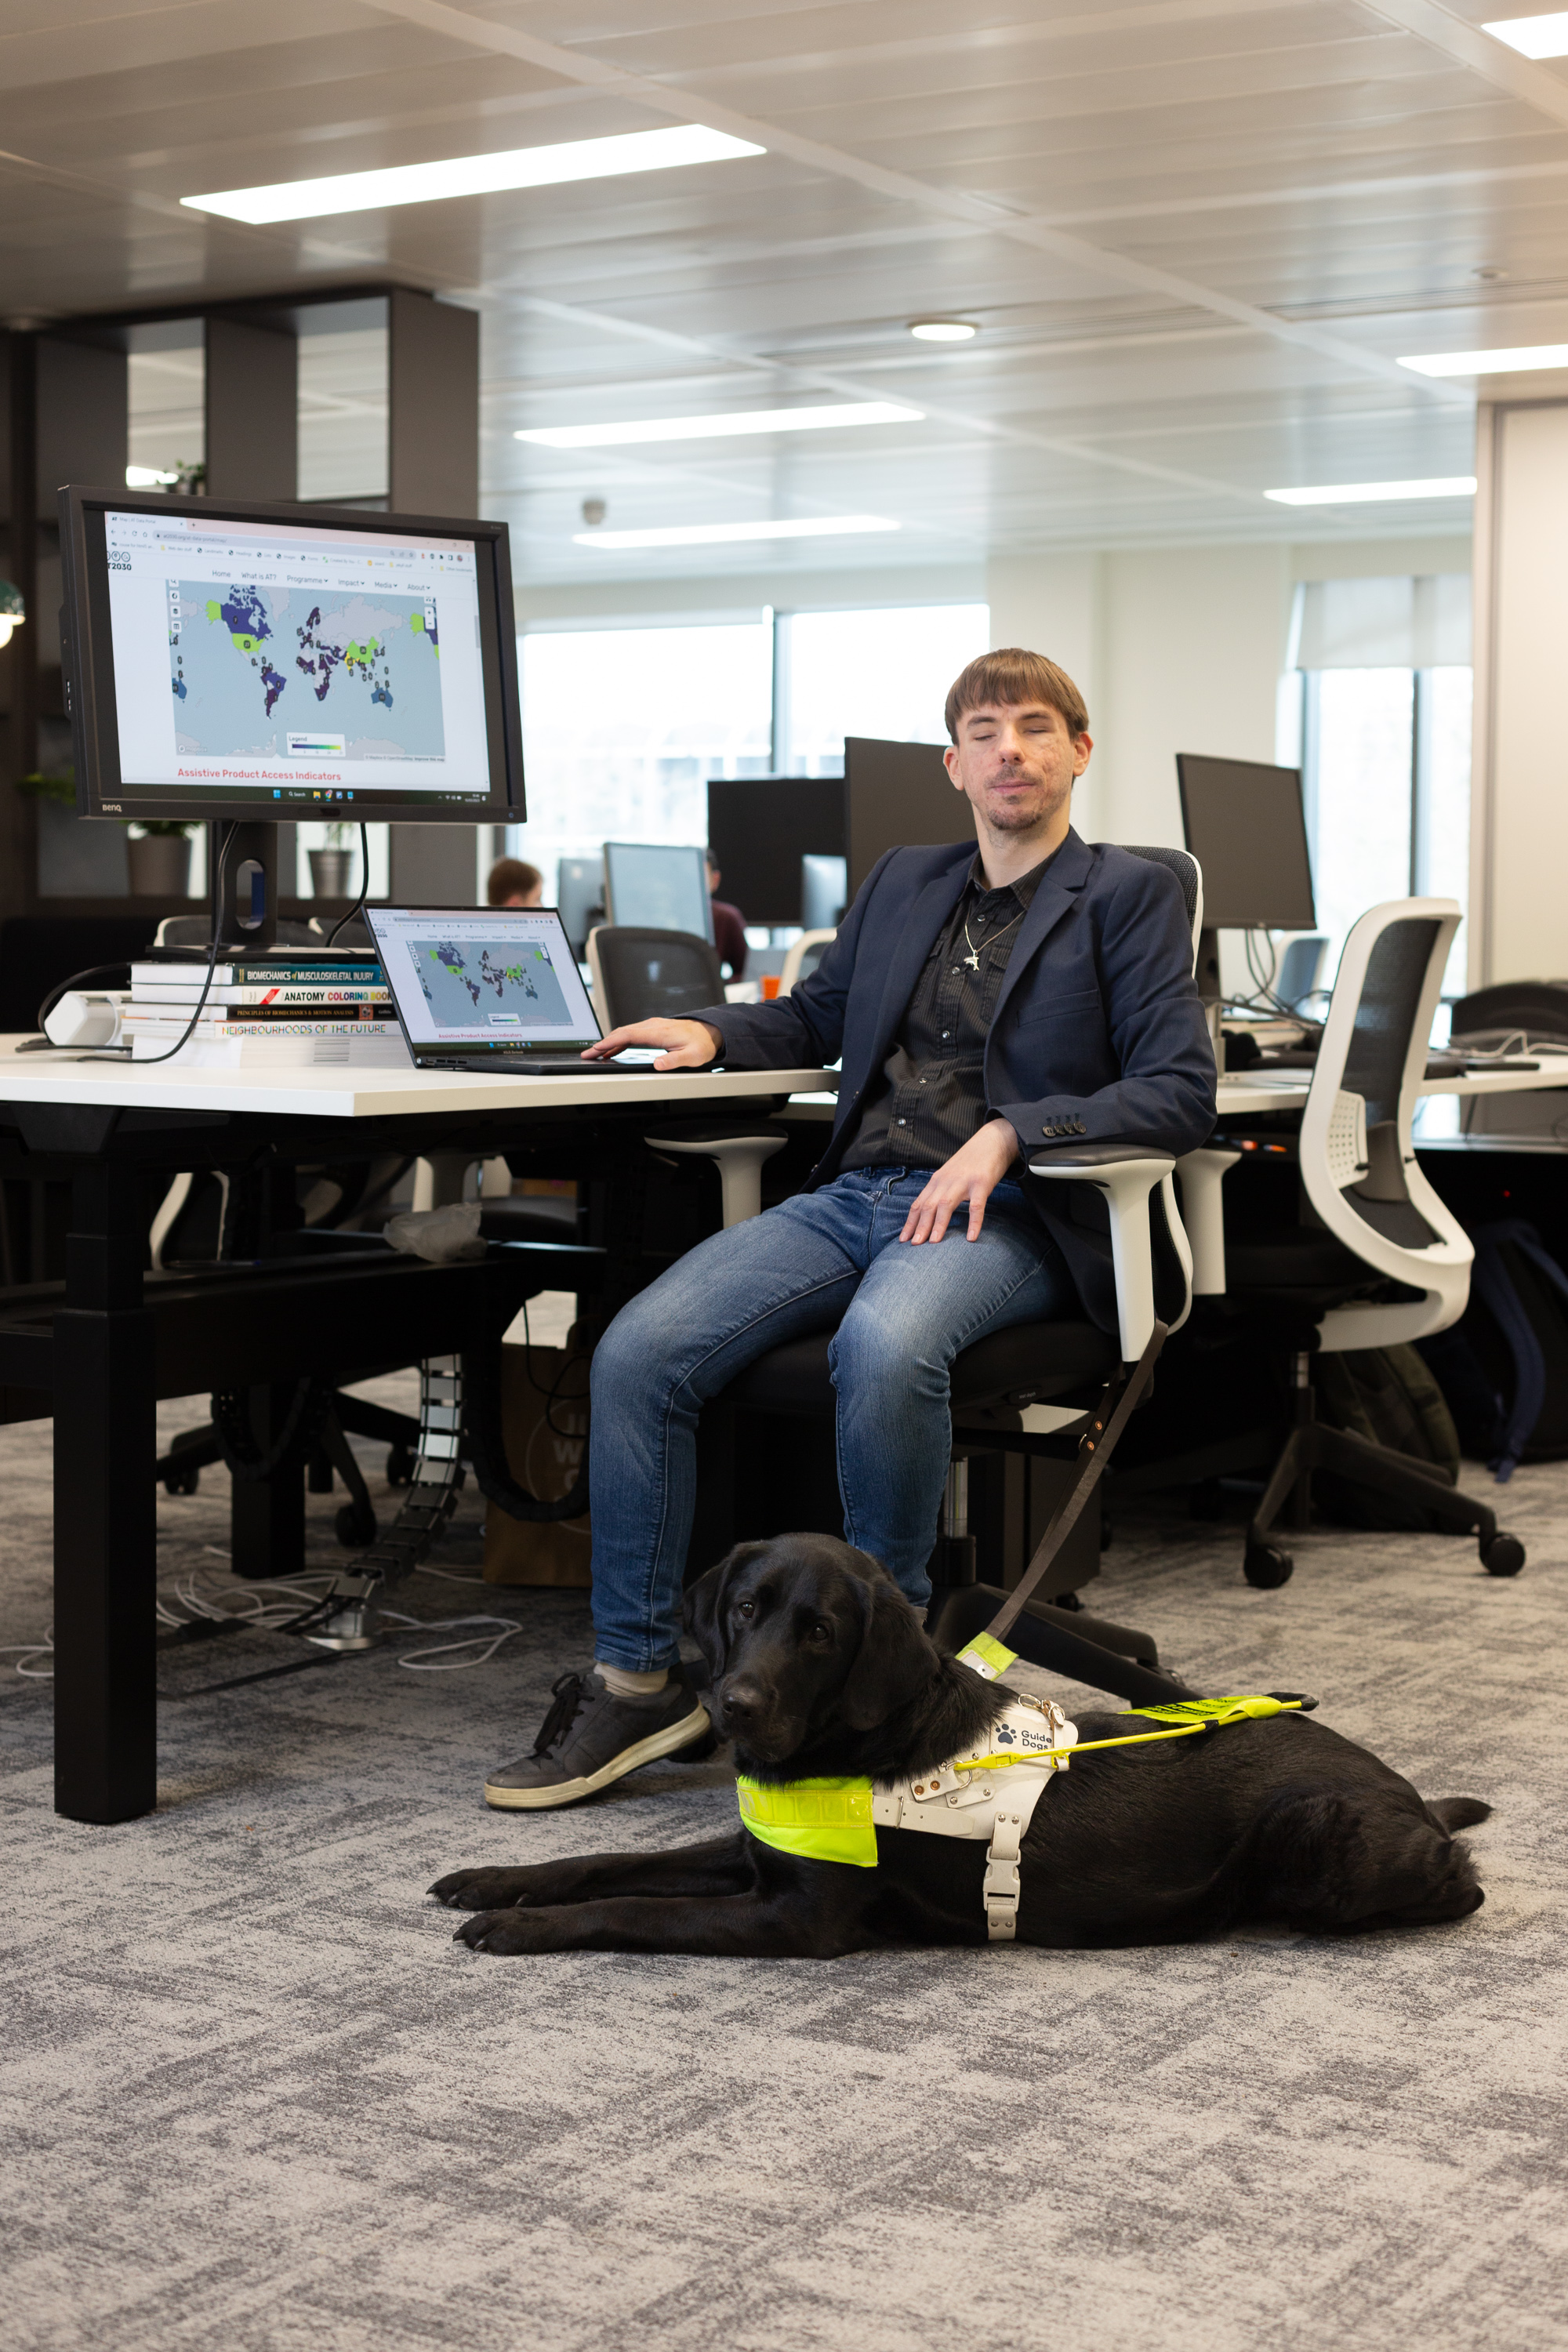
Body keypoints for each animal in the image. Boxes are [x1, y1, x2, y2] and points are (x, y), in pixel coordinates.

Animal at [432, 1534, 1495, 1957]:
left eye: (819, 1634)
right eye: (744, 1610)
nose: (733, 1704)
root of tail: (1405, 1793)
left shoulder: (795, 1917)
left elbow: (636, 1908)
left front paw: (517, 1929)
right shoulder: (758, 1851)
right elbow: (604, 1861)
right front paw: (489, 1881)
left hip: (1321, 1843)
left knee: (1464, 1882)